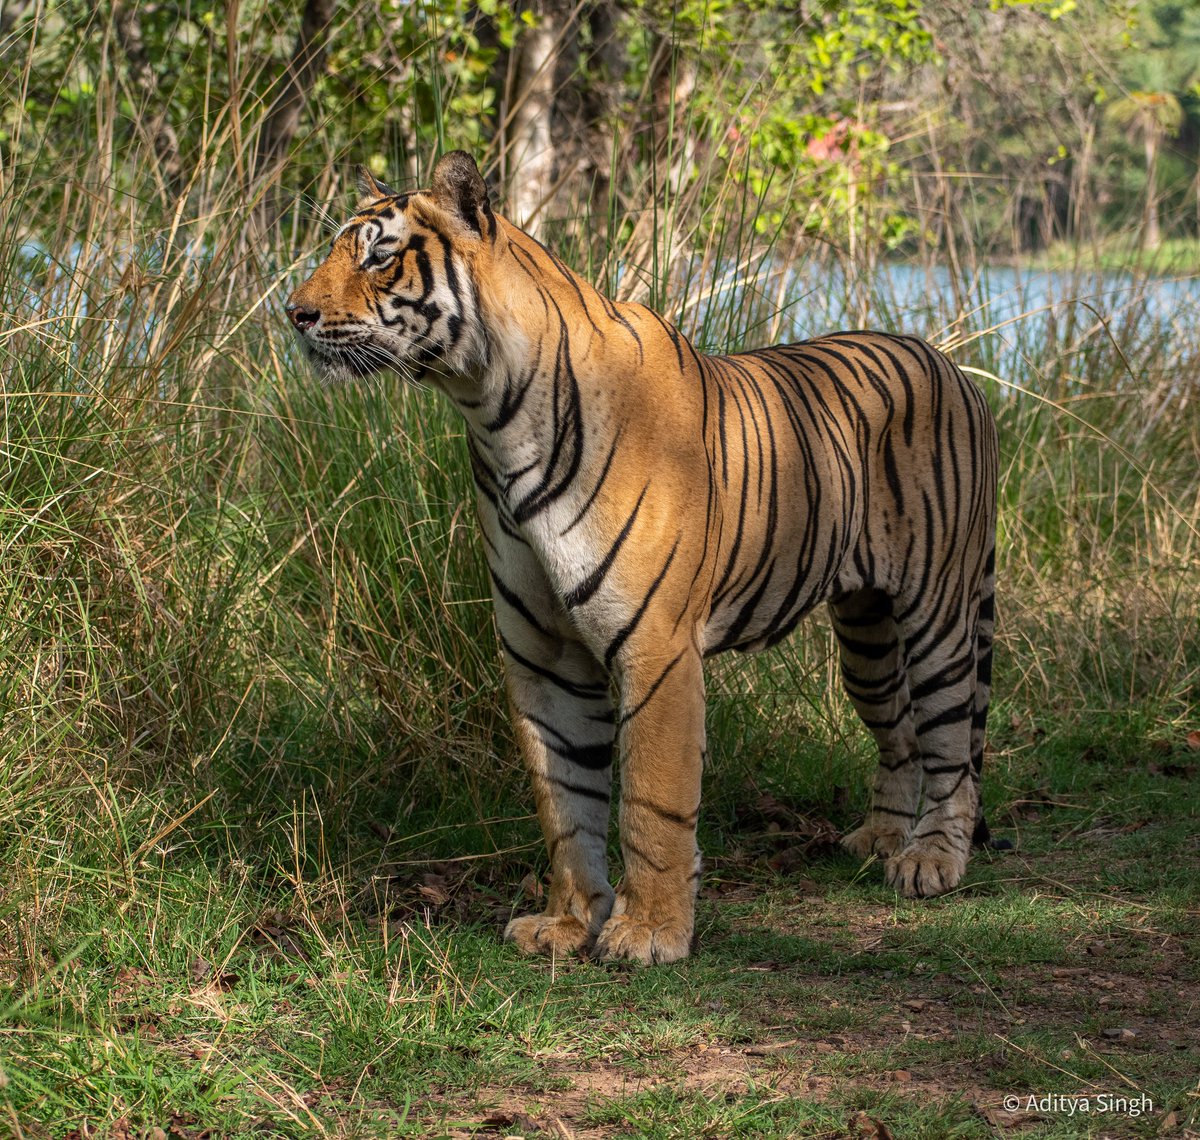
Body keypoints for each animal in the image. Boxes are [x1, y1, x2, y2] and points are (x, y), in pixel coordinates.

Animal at [286, 150, 1003, 965]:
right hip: (866, 637)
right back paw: (882, 839)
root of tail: (950, 364)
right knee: (904, 734)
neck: (491, 411)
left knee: (953, 741)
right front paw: (566, 924)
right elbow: (565, 803)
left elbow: (651, 801)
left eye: (378, 256)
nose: (293, 312)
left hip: (938, 613)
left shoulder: (657, 647)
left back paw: (931, 860)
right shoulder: (541, 657)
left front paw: (649, 932)